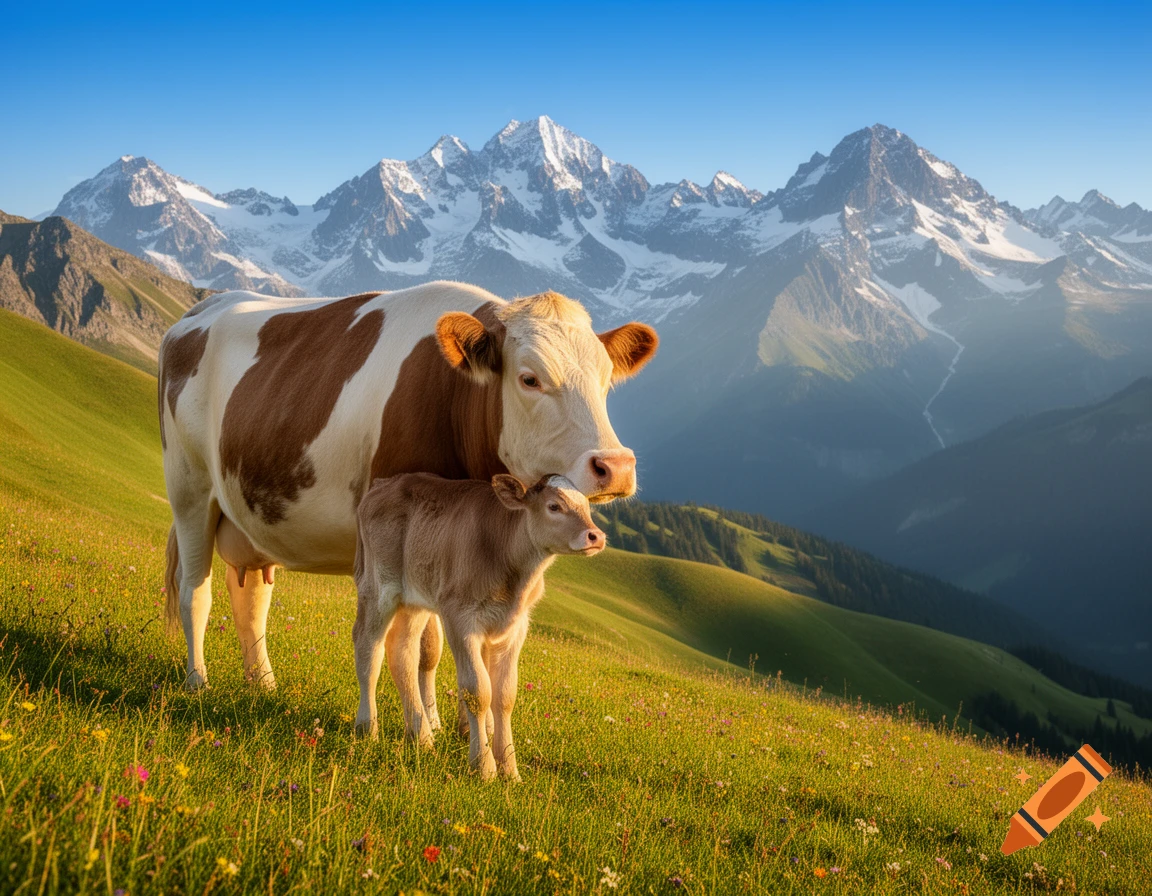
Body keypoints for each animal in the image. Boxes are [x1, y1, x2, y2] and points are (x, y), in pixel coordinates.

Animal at [159, 281, 657, 696]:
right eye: (530, 378)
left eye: (606, 380)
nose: (615, 466)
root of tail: (207, 305)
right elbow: (421, 646)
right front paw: (428, 732)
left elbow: (445, 651)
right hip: (189, 489)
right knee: (194, 591)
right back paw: (197, 682)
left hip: (249, 511)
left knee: (250, 597)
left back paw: (263, 685)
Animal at [353, 472, 604, 780]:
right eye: (554, 506)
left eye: (587, 506)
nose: (596, 536)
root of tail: (384, 483)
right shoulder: (459, 617)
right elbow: (478, 691)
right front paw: (484, 767)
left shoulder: (516, 628)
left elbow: (505, 695)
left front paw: (510, 770)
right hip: (379, 587)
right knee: (368, 647)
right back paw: (367, 728)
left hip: (414, 597)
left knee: (403, 653)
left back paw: (421, 738)